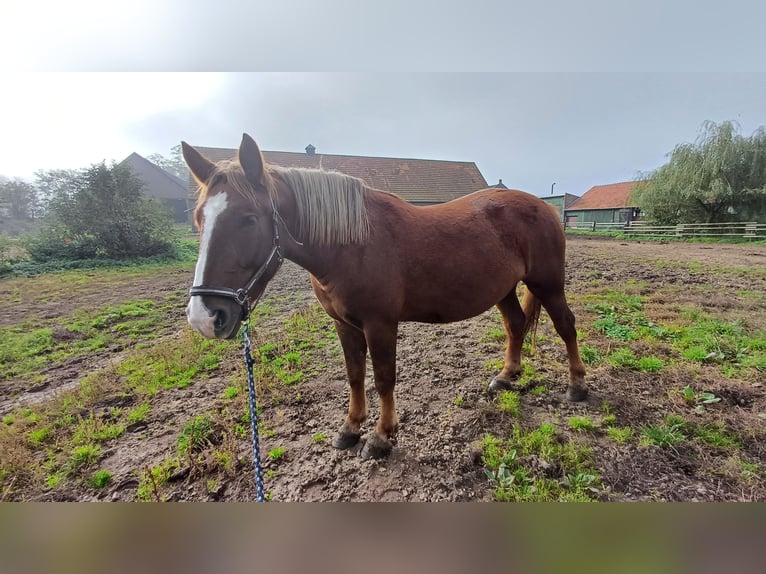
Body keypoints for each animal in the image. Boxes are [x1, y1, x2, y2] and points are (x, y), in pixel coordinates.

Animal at [182, 133, 588, 462]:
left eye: (249, 218)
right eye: (199, 218)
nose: (205, 316)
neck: (352, 244)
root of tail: (543, 206)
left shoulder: (380, 324)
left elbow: (383, 378)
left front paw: (381, 437)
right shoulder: (344, 325)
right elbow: (355, 375)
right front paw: (350, 428)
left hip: (548, 284)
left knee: (566, 326)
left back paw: (577, 386)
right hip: (504, 289)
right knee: (516, 325)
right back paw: (506, 377)